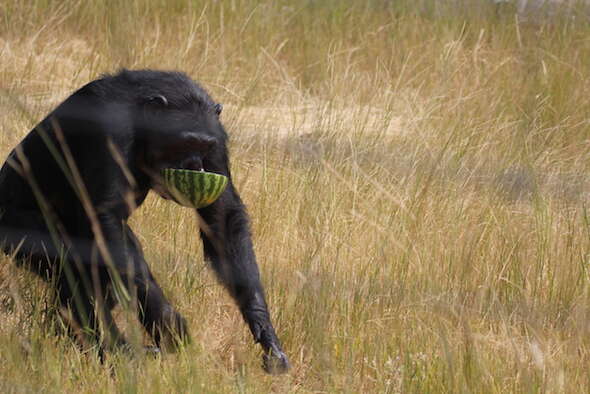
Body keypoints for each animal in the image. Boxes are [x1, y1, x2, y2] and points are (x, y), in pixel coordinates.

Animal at [0, 69, 290, 374]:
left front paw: (264, 330)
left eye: (205, 146)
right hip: (18, 228)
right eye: (185, 143)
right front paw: (167, 322)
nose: (196, 164)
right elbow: (106, 215)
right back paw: (111, 348)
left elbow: (222, 216)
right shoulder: (109, 128)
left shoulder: (218, 136)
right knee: (77, 268)